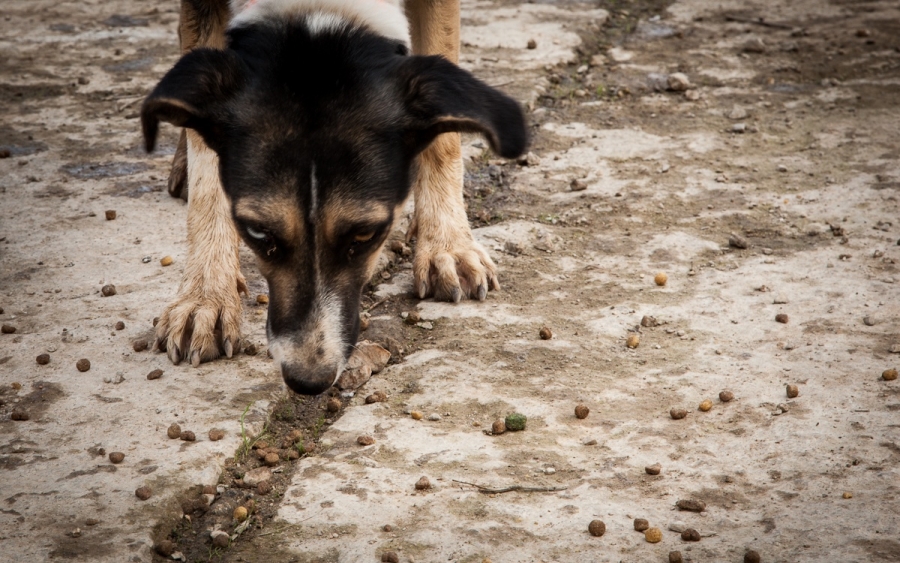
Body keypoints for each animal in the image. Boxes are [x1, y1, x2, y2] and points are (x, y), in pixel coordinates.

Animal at [142, 0, 528, 396]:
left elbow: (443, 138)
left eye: (366, 234)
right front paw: (206, 295)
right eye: (257, 233)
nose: (308, 381)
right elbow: (205, 162)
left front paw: (447, 245)